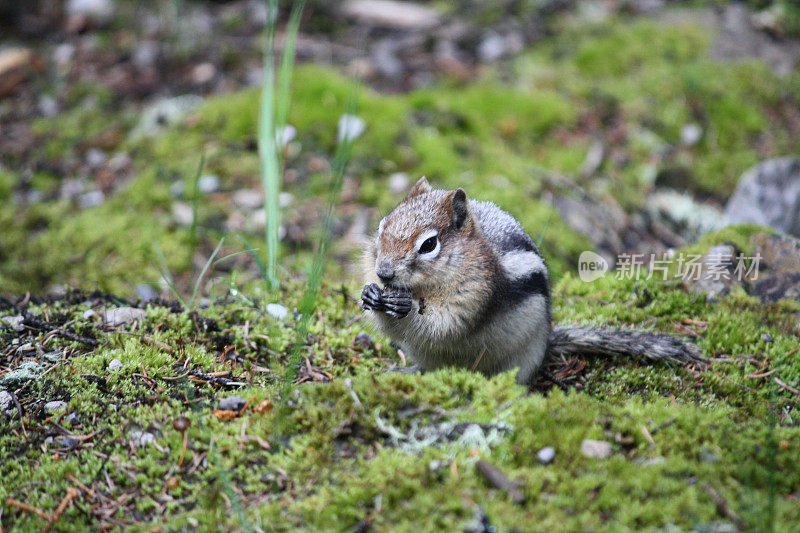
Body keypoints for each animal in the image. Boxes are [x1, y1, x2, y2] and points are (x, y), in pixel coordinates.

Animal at [360, 177, 704, 384]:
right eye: (382, 225)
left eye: (429, 244)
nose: (384, 273)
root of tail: (548, 340)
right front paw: (371, 295)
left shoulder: (475, 294)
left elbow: (445, 324)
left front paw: (405, 304)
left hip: (522, 358)